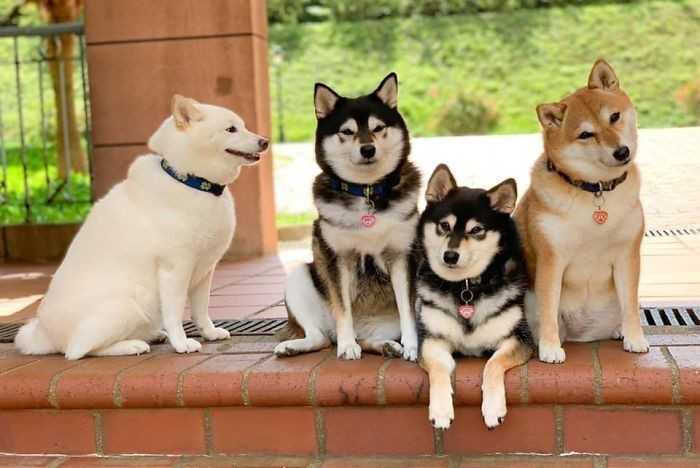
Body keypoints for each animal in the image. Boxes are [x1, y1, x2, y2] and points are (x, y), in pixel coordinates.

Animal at [17, 94, 268, 358]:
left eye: (244, 126)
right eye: (231, 129)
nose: (265, 141)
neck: (192, 182)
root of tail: (44, 335)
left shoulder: (204, 270)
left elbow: (201, 309)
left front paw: (209, 332)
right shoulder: (175, 269)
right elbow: (175, 312)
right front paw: (181, 344)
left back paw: (152, 335)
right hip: (126, 305)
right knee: (79, 351)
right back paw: (132, 345)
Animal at [412, 165, 532, 432]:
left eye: (476, 230)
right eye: (444, 226)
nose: (450, 255)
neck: (465, 288)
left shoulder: (518, 339)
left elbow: (493, 364)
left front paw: (493, 408)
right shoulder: (432, 341)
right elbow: (438, 370)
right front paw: (441, 410)